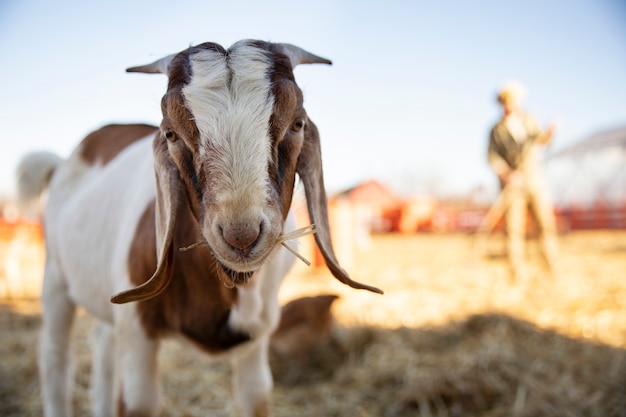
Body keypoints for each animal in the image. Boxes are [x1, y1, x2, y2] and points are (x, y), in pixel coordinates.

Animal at [15, 39, 380, 416]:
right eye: (170, 133)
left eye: (297, 123)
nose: (241, 236)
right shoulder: (137, 329)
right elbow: (137, 402)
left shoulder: (257, 334)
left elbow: (257, 395)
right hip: (55, 276)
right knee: (55, 356)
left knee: (103, 347)